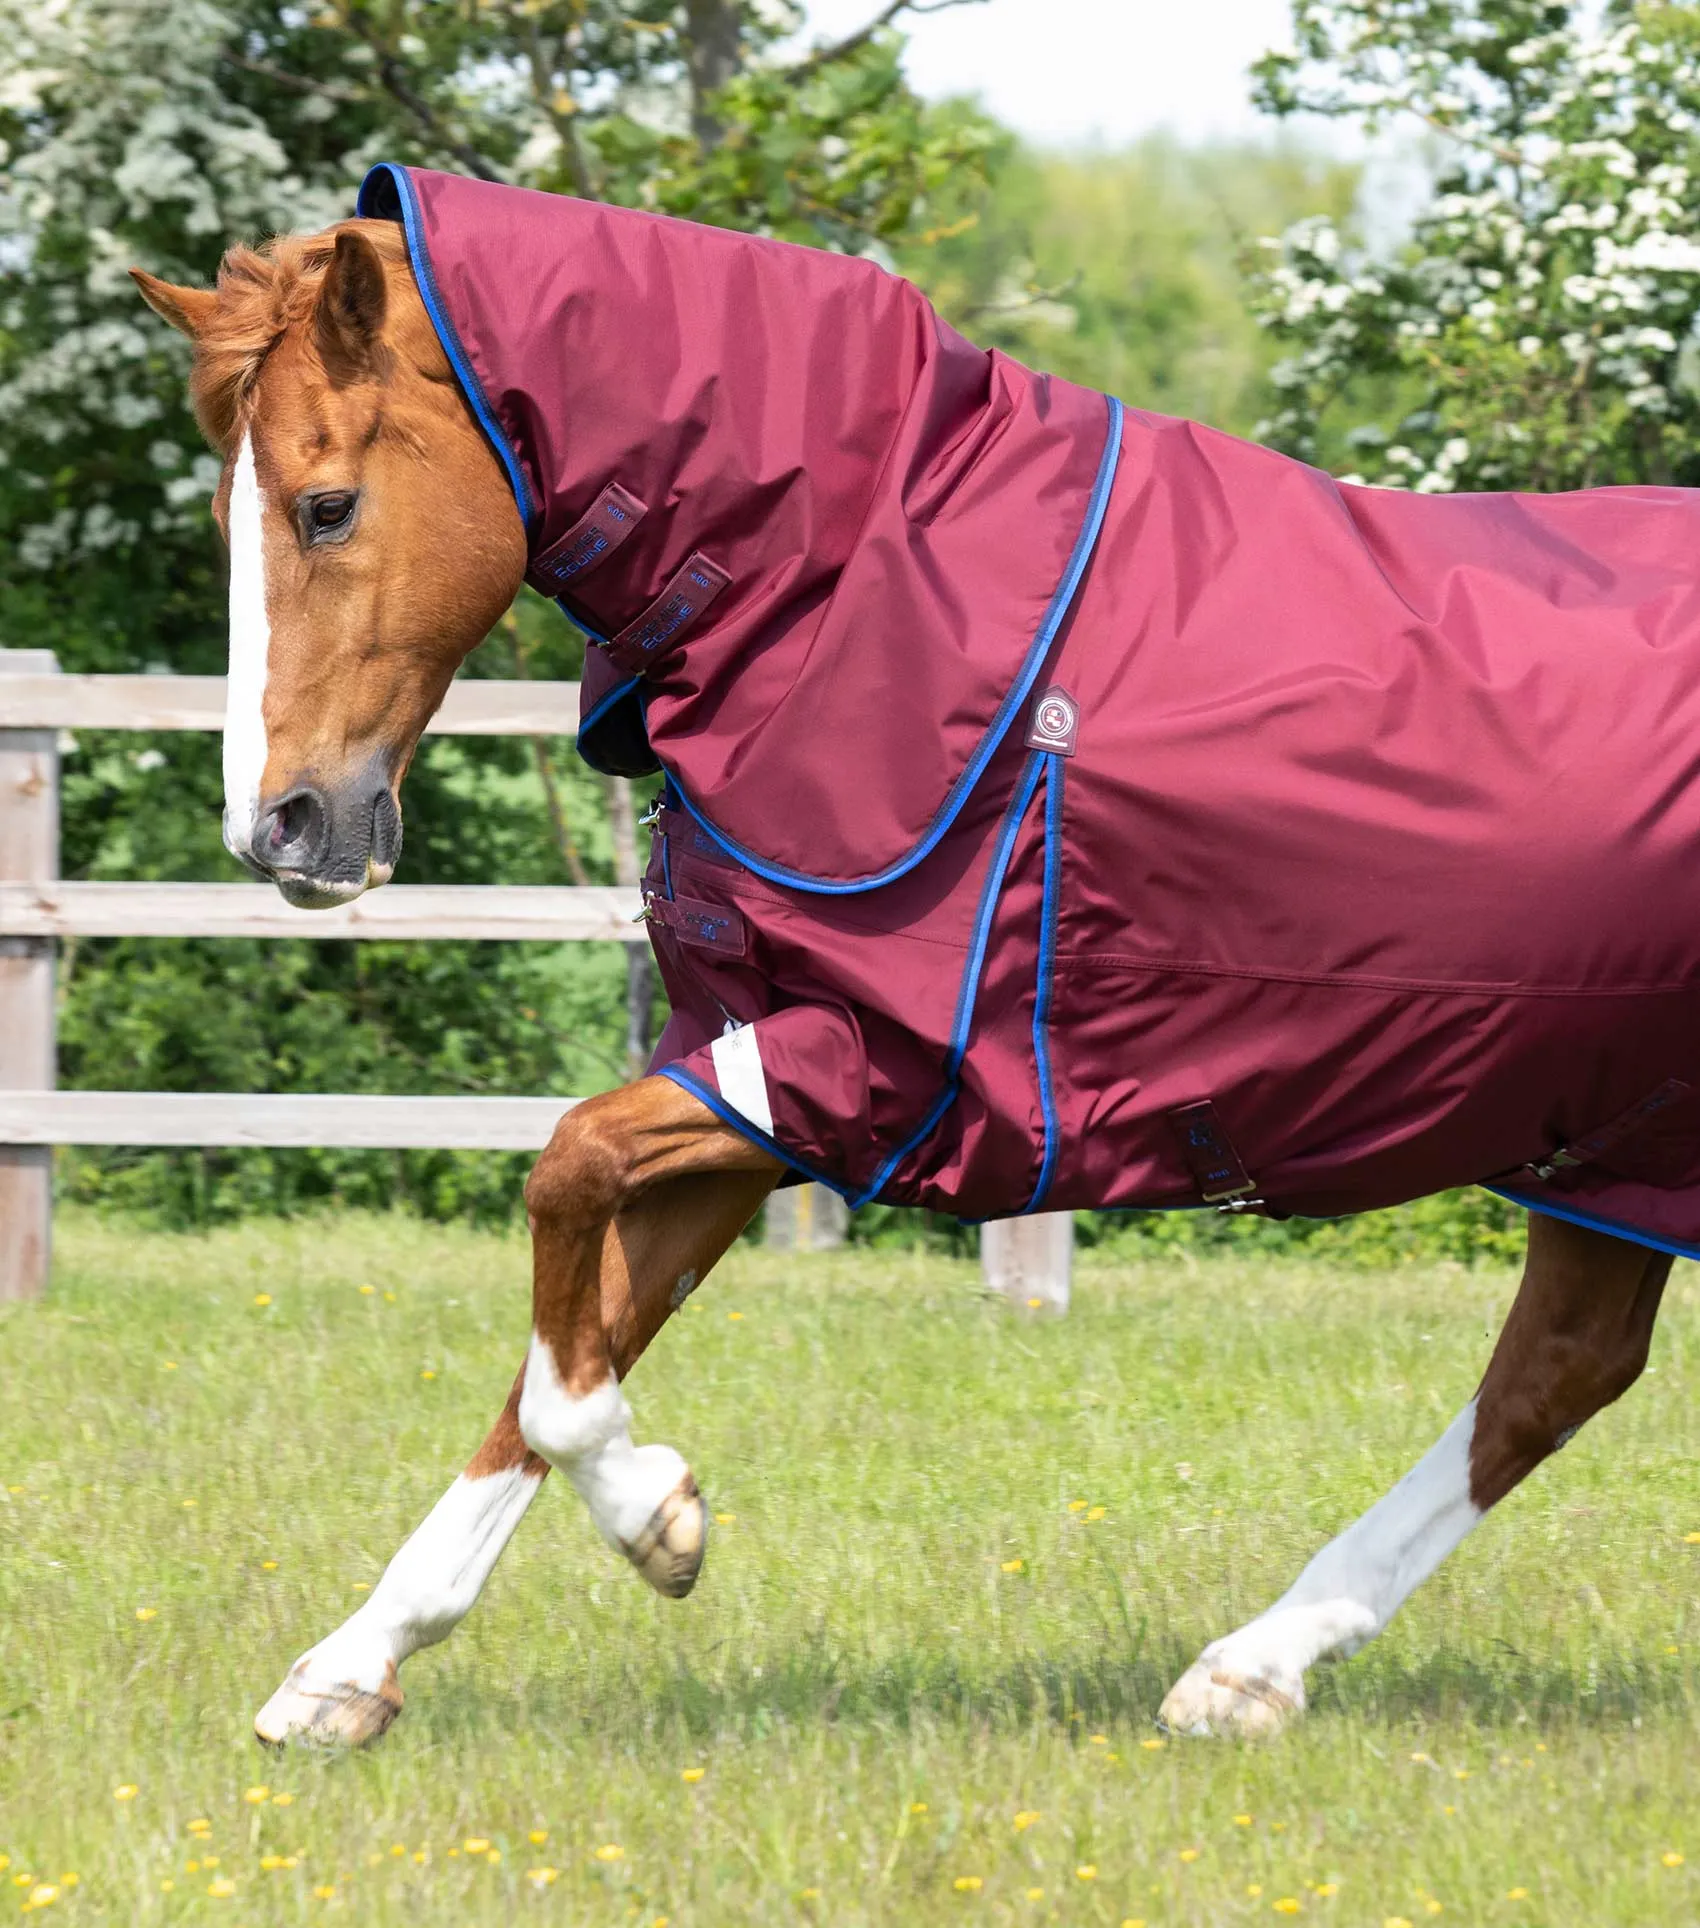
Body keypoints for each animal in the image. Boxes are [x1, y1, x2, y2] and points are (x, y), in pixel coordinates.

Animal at [129, 225, 1673, 1750]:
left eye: (326, 507)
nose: (278, 830)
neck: (848, 584)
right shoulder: (749, 1074)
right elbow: (571, 1333)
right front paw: (352, 1667)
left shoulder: (876, 1069)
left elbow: (564, 1181)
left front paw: (659, 1518)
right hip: (1611, 1146)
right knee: (1560, 1369)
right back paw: (1252, 1671)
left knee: (1549, 1374)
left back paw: (1254, 1662)